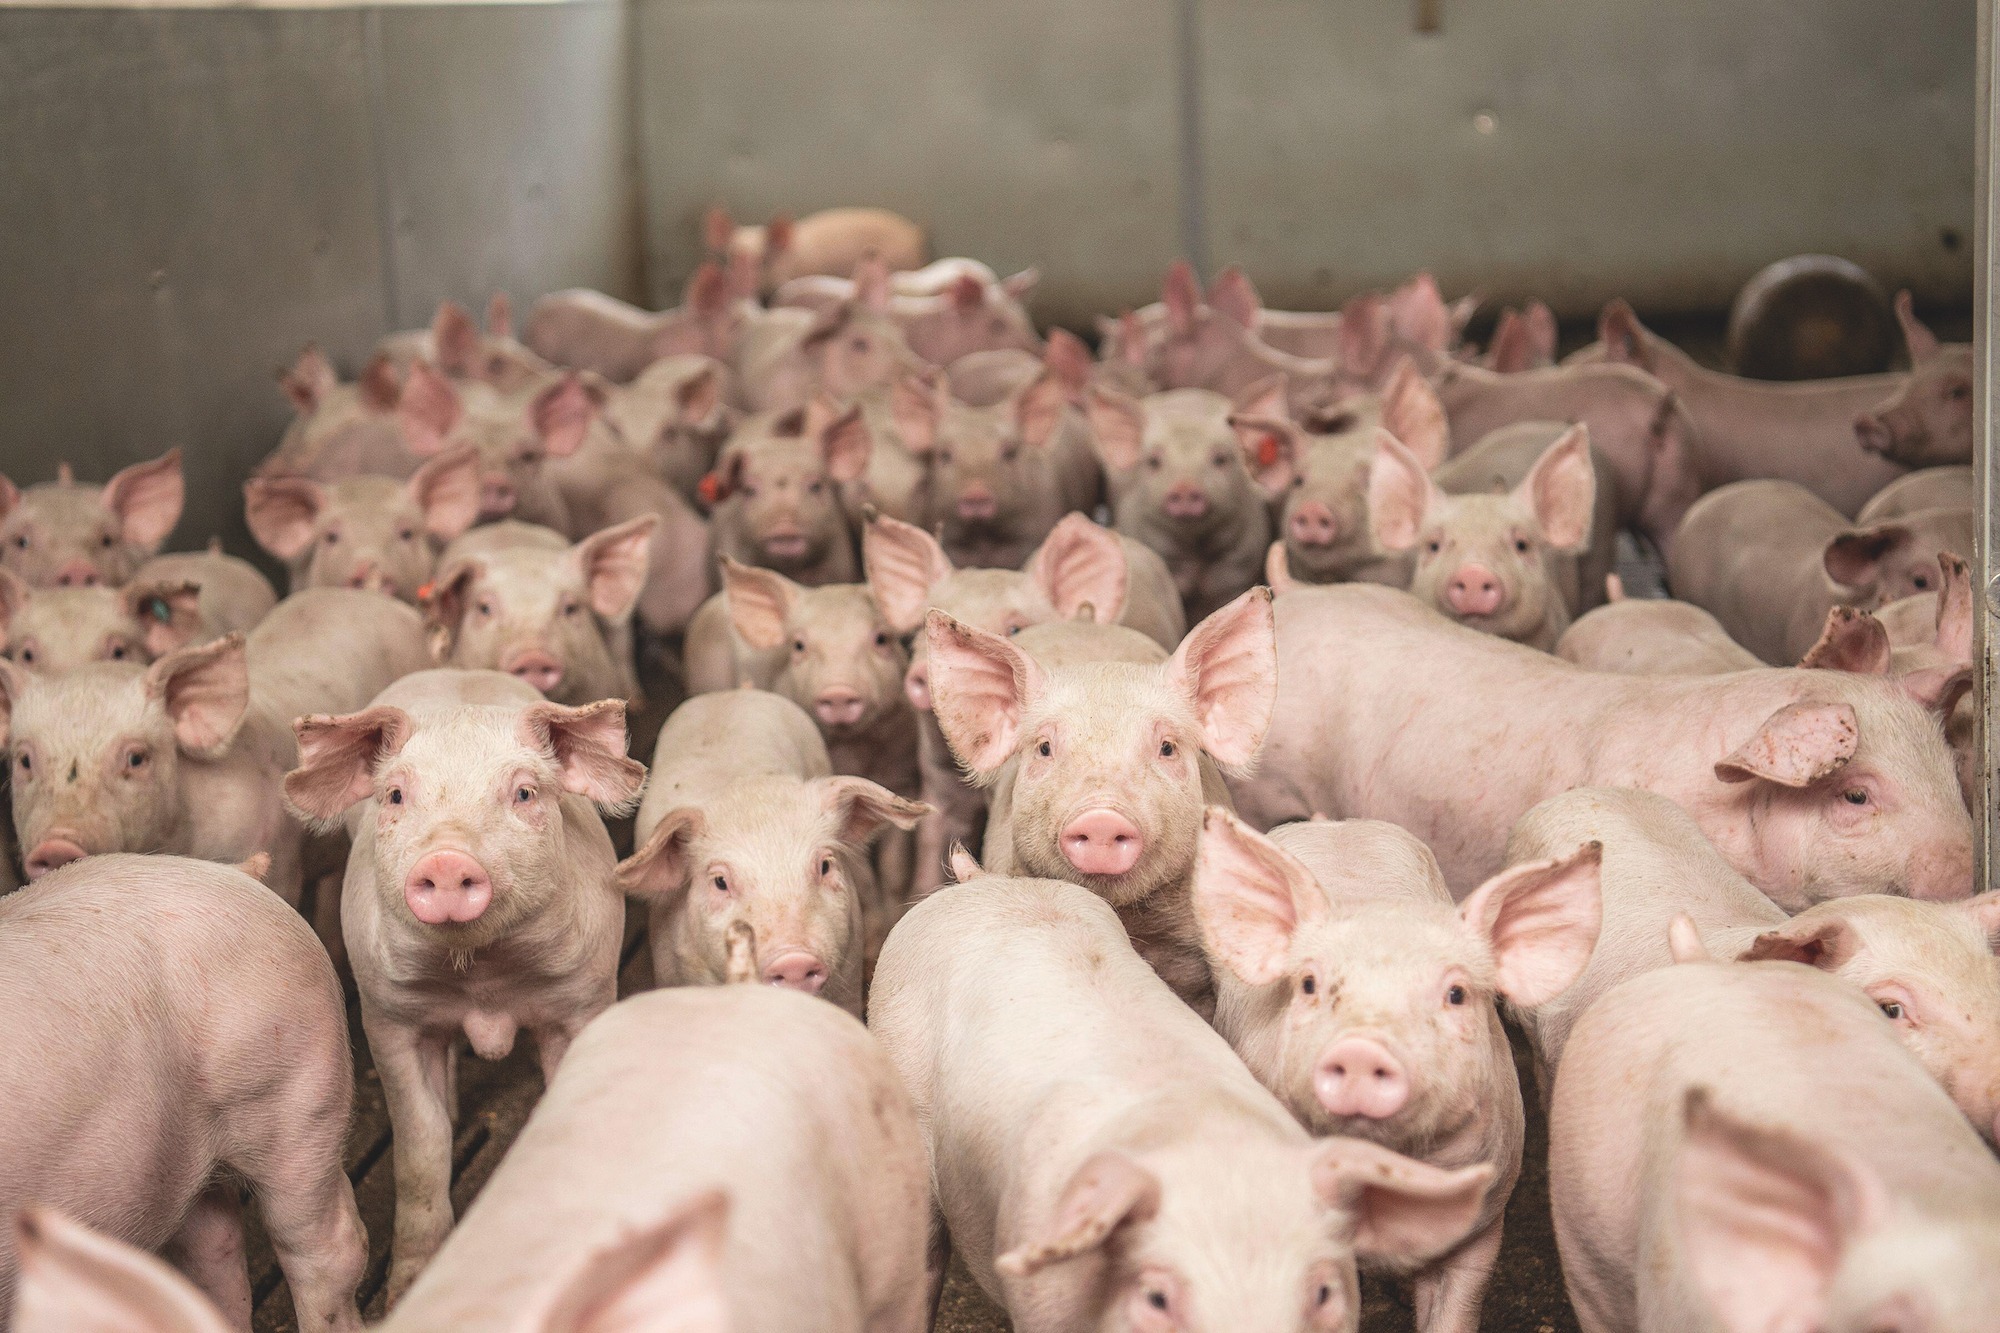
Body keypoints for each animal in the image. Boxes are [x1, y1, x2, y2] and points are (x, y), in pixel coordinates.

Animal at [283, 668, 644, 1299]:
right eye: (396, 795)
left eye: (524, 793)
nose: (447, 860)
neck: (485, 982)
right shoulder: (388, 1017)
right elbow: (421, 1144)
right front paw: (406, 1286)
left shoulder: (583, 999)